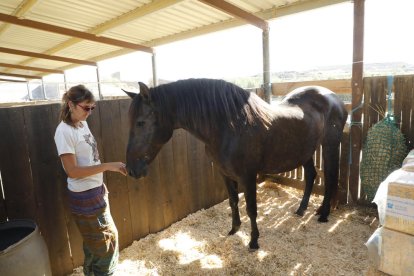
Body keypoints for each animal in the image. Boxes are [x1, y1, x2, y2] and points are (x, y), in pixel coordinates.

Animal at [124, 78, 348, 251]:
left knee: (330, 176)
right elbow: (233, 201)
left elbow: (251, 209)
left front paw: (254, 242)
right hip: (305, 150)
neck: (229, 126)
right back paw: (302, 210)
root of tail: (334, 98)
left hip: (329, 145)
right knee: (311, 175)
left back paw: (324, 214)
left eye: (141, 122)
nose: (131, 169)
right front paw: (234, 229)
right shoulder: (224, 174)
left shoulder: (248, 177)